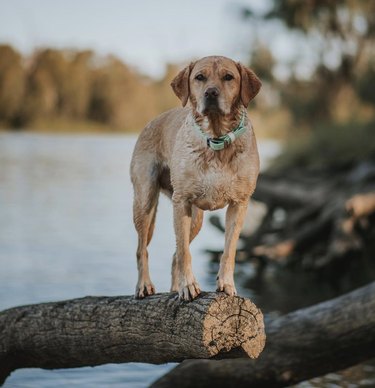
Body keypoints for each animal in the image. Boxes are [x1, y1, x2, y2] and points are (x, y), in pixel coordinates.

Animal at [131, 56, 262, 302]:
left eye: (228, 77)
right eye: (199, 77)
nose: (211, 93)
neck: (216, 138)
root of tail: (150, 122)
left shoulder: (239, 204)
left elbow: (229, 250)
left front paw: (226, 284)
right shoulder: (181, 201)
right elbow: (185, 253)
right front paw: (189, 286)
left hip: (196, 219)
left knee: (174, 255)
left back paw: (174, 288)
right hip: (145, 200)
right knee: (143, 248)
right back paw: (144, 285)